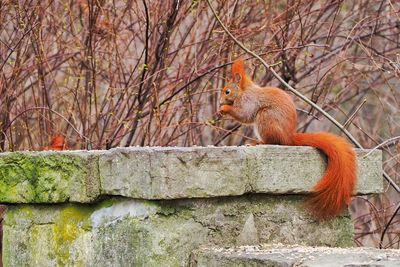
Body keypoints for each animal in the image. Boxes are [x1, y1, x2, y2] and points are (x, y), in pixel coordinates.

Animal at [219, 59, 356, 221]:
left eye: (227, 91)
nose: (220, 102)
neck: (244, 91)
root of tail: (289, 137)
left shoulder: (249, 101)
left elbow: (244, 114)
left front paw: (225, 109)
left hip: (266, 118)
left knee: (274, 141)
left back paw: (258, 142)